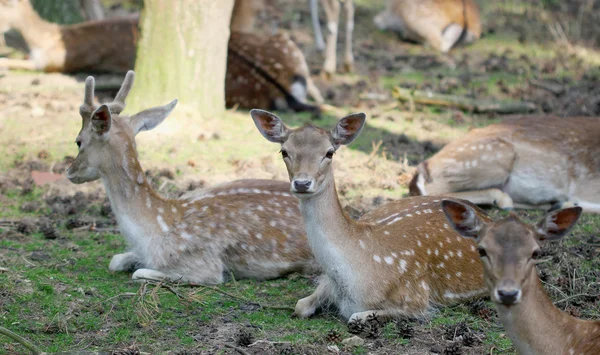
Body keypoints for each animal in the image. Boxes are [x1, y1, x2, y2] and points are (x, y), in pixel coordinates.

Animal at [66, 71, 316, 286]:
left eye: (78, 141)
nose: (69, 171)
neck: (152, 231)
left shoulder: (204, 265)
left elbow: (139, 273)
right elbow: (115, 260)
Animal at [248, 110, 488, 326]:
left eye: (329, 152)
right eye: (284, 151)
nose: (302, 183)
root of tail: (484, 214)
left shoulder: (416, 297)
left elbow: (356, 317)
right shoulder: (326, 281)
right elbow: (300, 306)